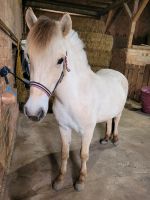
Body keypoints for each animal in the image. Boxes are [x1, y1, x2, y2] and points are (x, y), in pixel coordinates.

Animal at [24, 7, 127, 191]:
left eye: (60, 60)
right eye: (28, 56)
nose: (33, 112)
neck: (75, 97)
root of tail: (118, 73)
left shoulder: (88, 130)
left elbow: (83, 154)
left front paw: (80, 180)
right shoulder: (63, 128)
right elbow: (64, 153)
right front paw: (59, 180)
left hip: (119, 111)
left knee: (116, 120)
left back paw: (114, 139)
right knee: (108, 121)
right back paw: (105, 139)